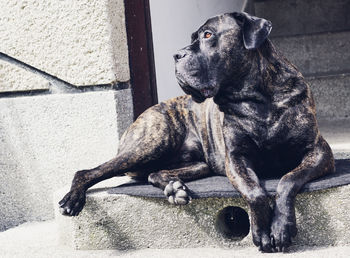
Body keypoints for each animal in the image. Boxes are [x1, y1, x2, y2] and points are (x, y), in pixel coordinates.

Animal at [58, 12, 334, 252]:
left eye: (208, 35)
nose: (176, 55)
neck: (257, 100)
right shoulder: (236, 159)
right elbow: (255, 192)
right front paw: (262, 232)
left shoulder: (319, 151)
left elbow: (288, 180)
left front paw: (281, 227)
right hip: (151, 142)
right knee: (89, 171)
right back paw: (73, 198)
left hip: (198, 164)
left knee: (155, 173)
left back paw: (174, 189)